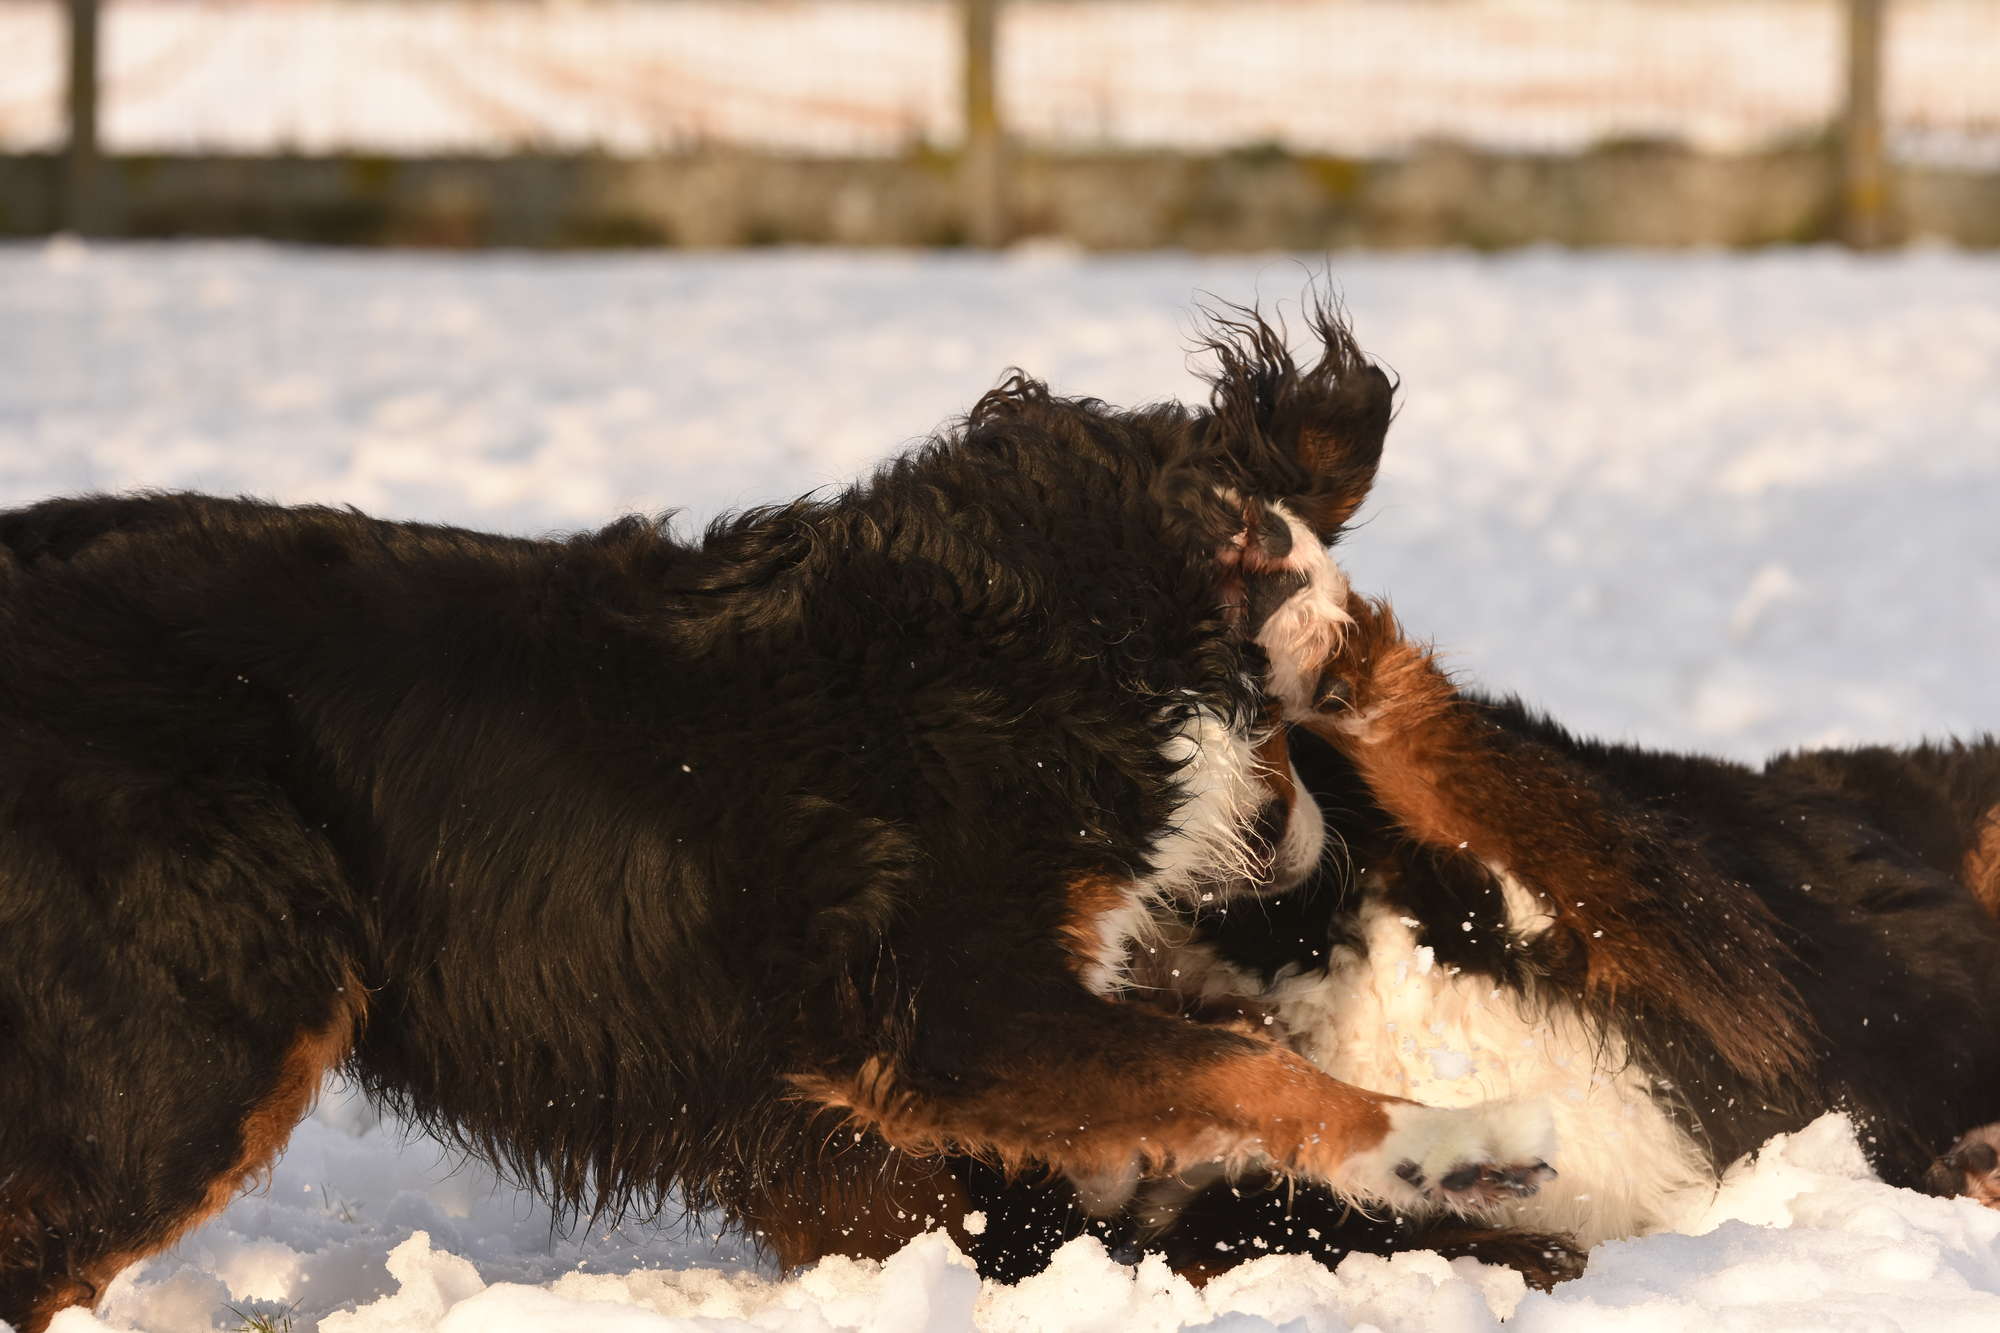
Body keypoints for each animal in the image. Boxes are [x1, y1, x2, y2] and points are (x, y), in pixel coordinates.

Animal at [0, 302, 1565, 1331]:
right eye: (1302, 692)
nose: (1312, 857)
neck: (1039, 645)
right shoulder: (935, 1006)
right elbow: (1252, 1072)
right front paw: (1467, 1139)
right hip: (218, 1016)